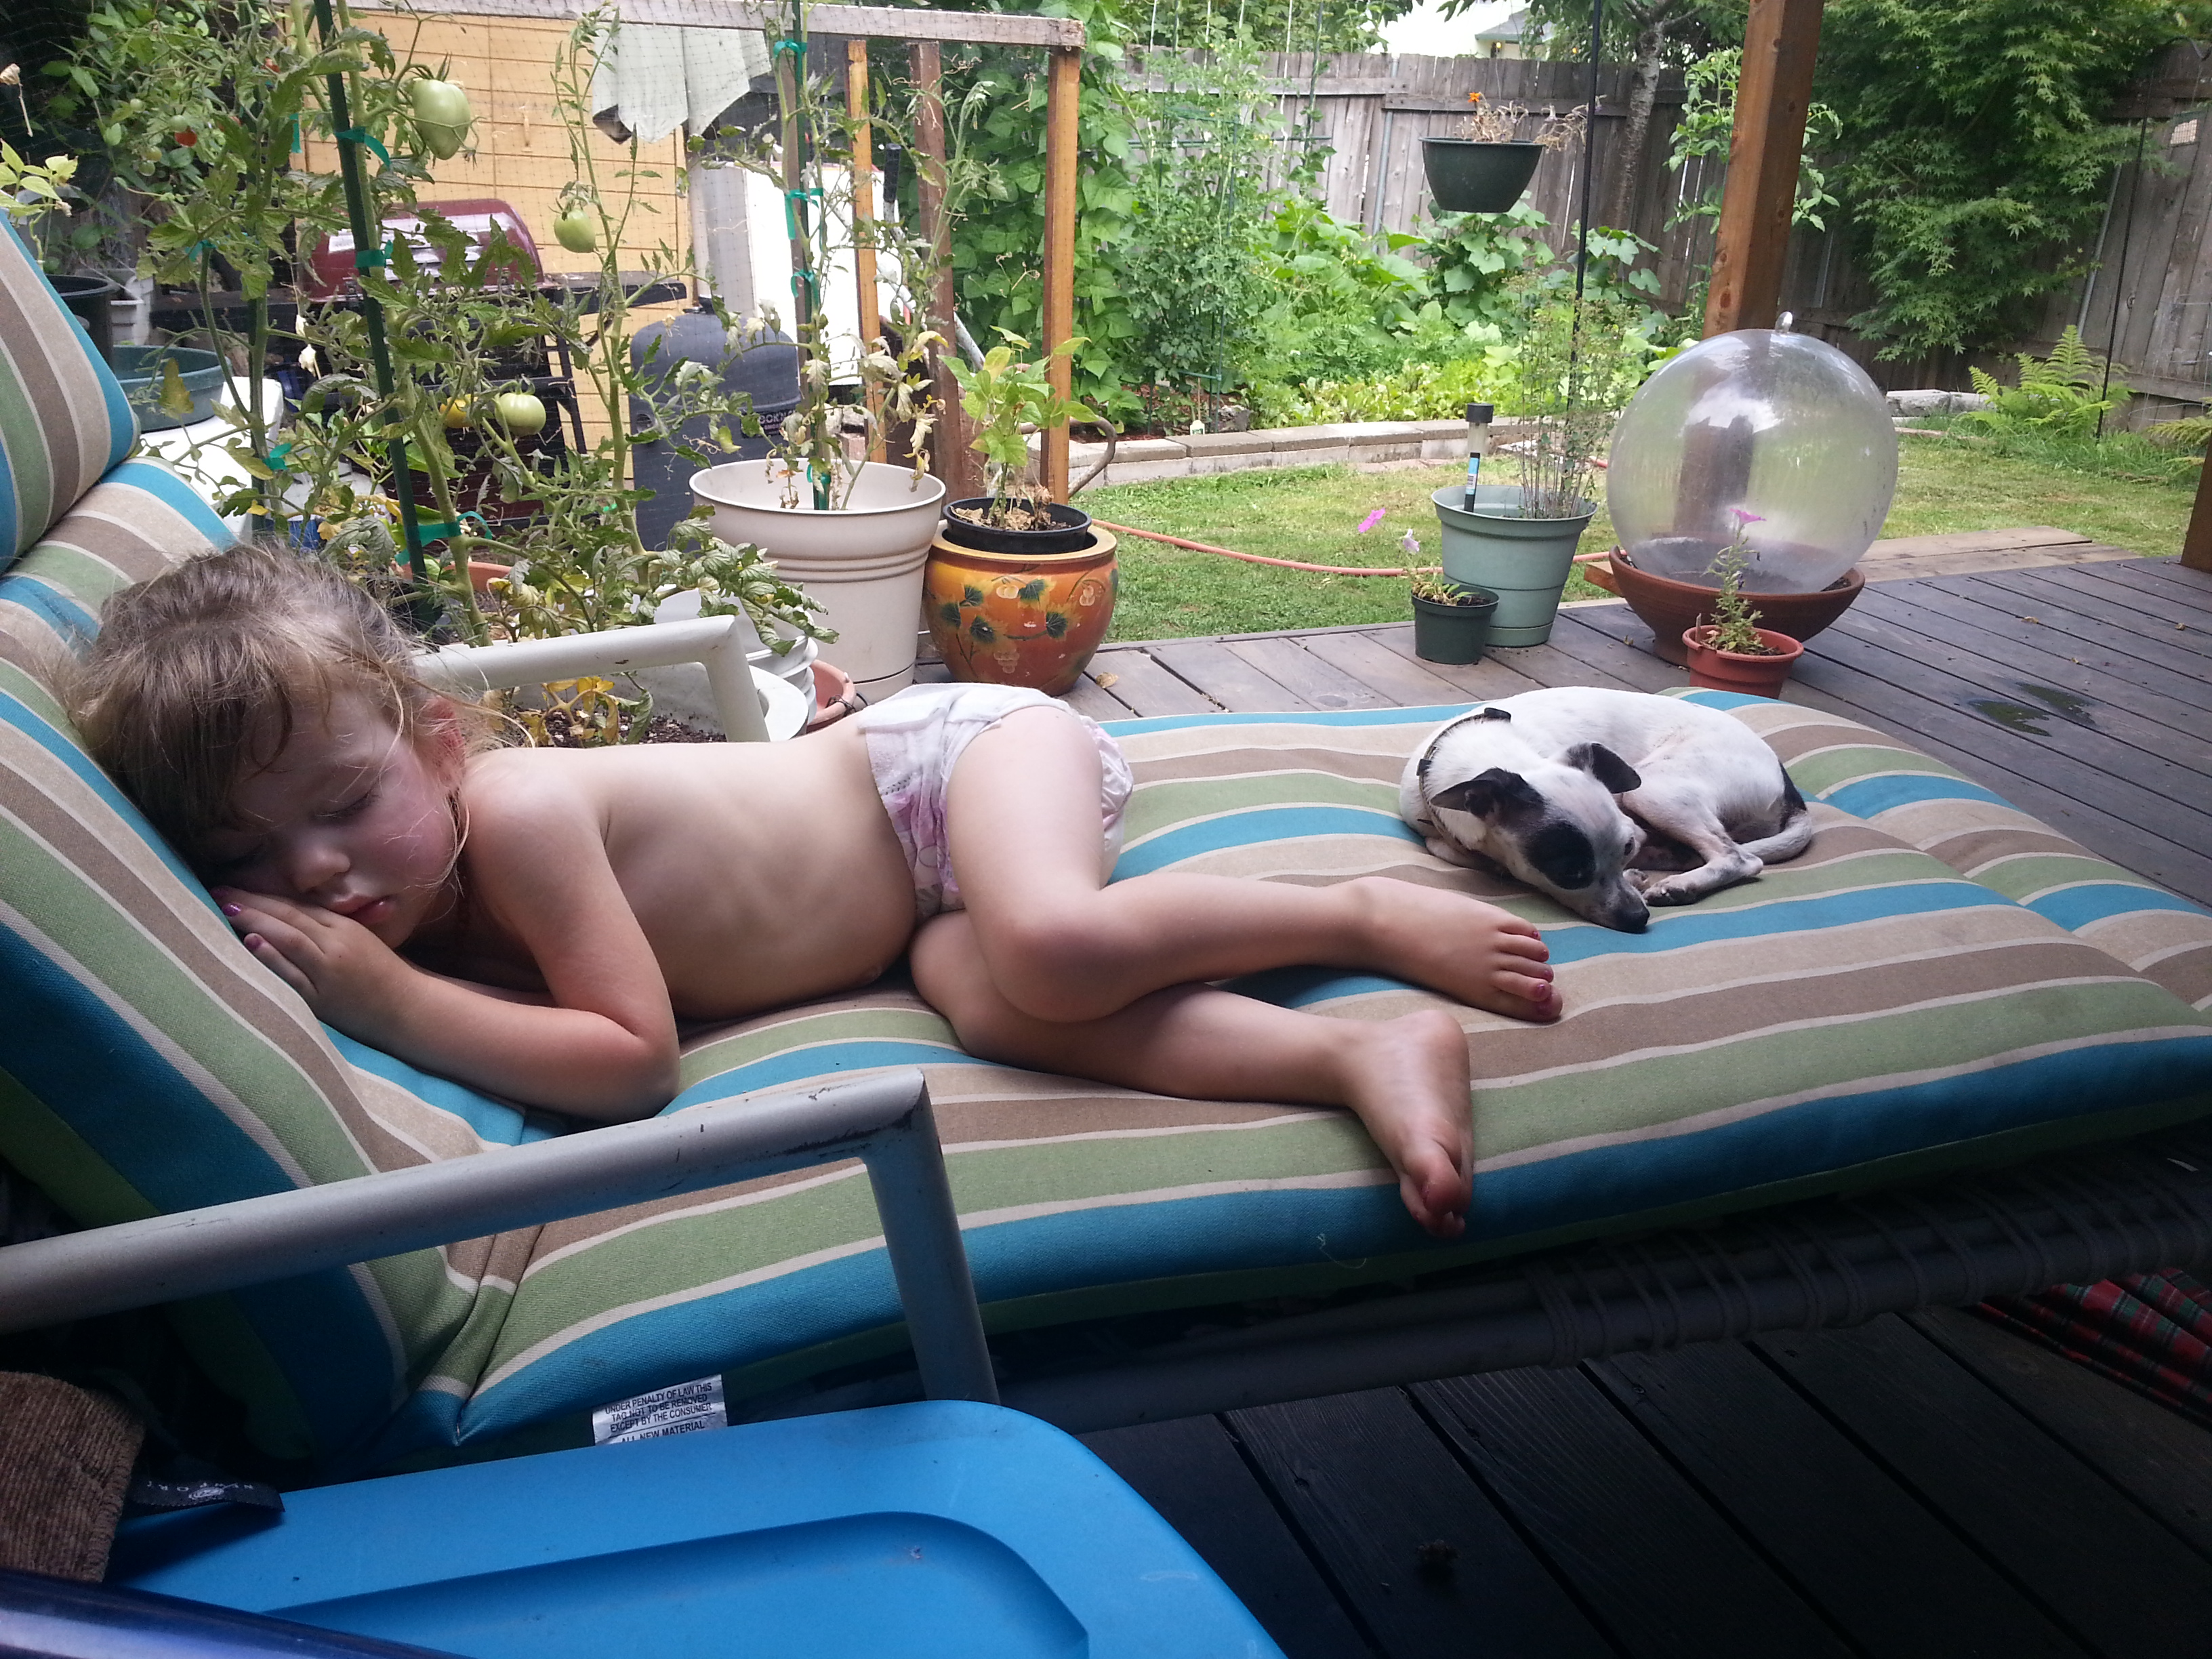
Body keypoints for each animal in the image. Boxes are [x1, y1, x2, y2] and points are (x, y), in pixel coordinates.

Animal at [1398, 688, 1813, 931]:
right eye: (1571, 873)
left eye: (1626, 848)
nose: (1638, 919)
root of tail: (1789, 788)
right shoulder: (1438, 834)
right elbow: (1449, 849)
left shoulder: (1634, 825)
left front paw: (1636, 875)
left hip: (1654, 790)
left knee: (1739, 857)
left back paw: (1680, 885)